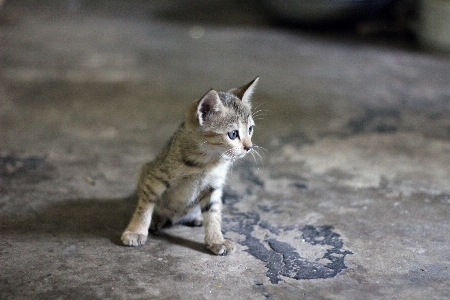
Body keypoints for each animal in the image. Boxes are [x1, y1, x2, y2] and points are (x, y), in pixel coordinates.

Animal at [121, 77, 260, 255]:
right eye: (233, 134)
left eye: (250, 129)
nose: (249, 147)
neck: (208, 162)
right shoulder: (155, 178)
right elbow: (145, 206)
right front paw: (136, 231)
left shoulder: (213, 186)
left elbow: (213, 213)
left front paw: (216, 240)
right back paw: (157, 219)